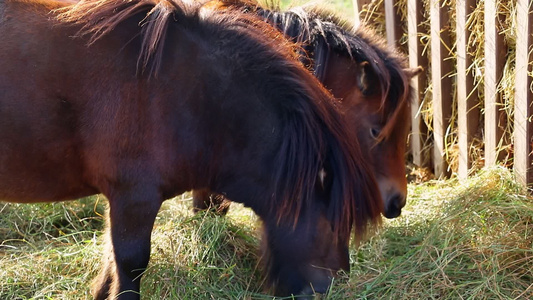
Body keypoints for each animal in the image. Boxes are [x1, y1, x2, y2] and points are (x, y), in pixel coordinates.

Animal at [0, 0, 382, 296]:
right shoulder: (134, 199)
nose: (328, 287)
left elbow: (109, 266)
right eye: (333, 224)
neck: (189, 94)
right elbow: (129, 267)